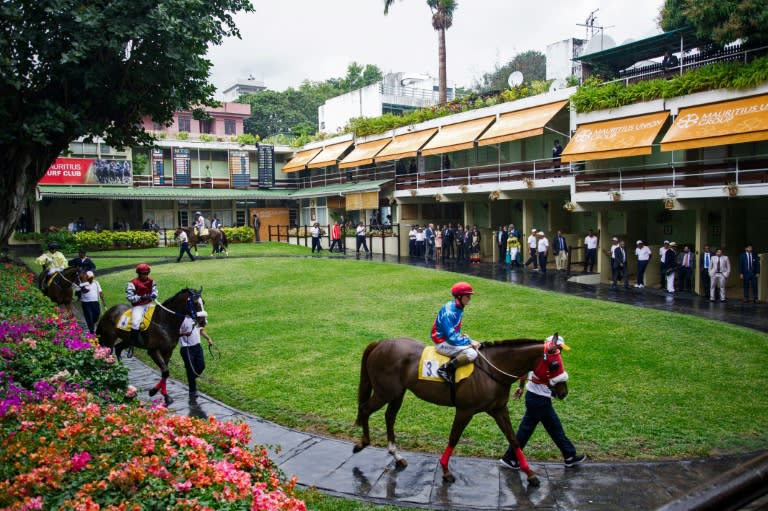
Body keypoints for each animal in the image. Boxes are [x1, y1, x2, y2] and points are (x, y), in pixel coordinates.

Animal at [356, 338, 568, 486]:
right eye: (555, 364)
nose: (564, 391)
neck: (492, 370)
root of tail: (380, 343)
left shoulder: (499, 409)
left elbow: (514, 439)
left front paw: (530, 474)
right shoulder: (466, 410)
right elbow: (454, 437)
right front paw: (446, 471)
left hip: (397, 393)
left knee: (389, 417)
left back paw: (396, 455)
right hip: (384, 392)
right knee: (365, 409)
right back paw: (362, 443)